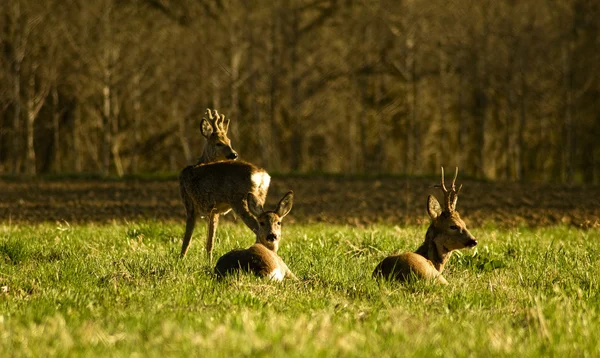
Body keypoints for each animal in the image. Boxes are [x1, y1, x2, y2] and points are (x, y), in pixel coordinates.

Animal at [179, 109, 270, 260]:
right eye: (219, 143)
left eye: (229, 141)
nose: (234, 154)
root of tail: (261, 176)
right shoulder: (214, 211)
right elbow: (210, 240)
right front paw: (209, 260)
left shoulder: (189, 203)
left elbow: (187, 238)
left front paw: (180, 259)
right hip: (259, 199)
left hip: (240, 200)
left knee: (259, 228)